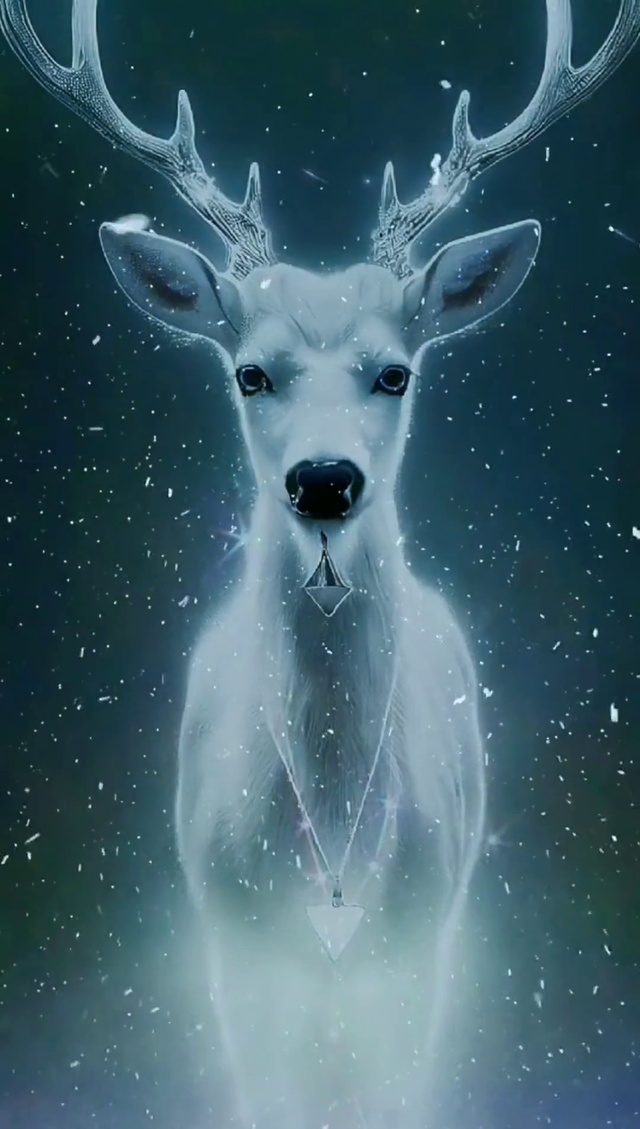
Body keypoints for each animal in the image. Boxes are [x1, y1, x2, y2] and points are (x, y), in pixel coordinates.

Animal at [2, 1, 638, 1127]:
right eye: (249, 371)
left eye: (397, 371)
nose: (326, 480)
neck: (334, 861)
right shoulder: (230, 946)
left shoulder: (427, 942)